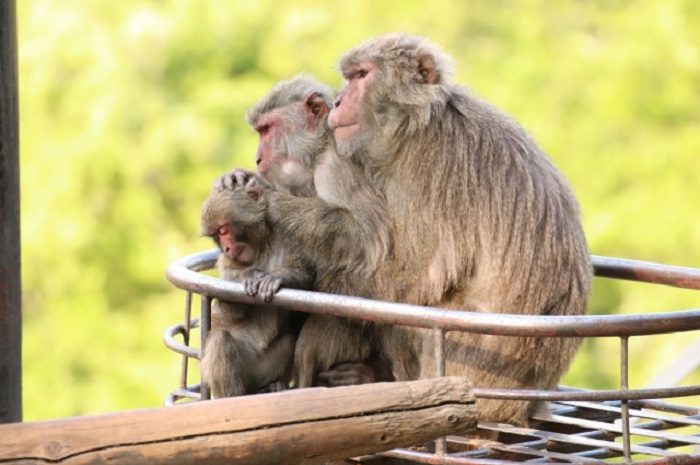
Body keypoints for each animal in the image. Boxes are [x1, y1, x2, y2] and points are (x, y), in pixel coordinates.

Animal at [200, 174, 314, 396]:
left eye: (224, 230)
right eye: (217, 236)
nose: (226, 248)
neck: (262, 244)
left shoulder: (292, 234)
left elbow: (305, 273)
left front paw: (281, 276)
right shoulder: (227, 263)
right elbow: (225, 311)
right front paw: (250, 275)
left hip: (262, 369)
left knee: (289, 341)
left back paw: (272, 385)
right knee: (220, 339)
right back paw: (234, 396)